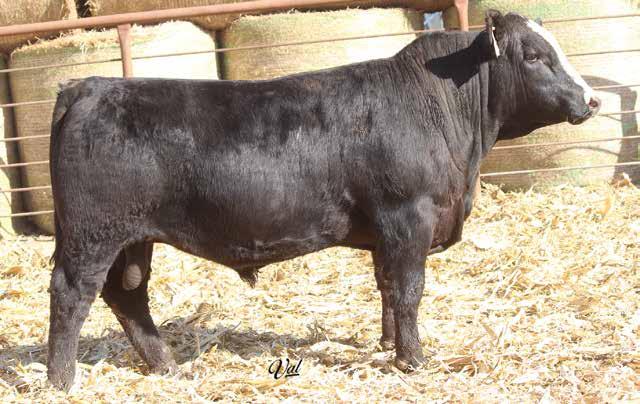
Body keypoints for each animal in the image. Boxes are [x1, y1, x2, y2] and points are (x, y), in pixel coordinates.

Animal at [46, 10, 600, 390]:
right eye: (534, 56)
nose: (591, 100)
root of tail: (88, 86)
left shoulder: (385, 232)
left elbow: (386, 287)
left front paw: (386, 344)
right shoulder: (409, 217)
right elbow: (409, 290)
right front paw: (412, 360)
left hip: (130, 239)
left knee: (127, 296)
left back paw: (168, 367)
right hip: (93, 234)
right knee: (72, 295)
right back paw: (61, 379)